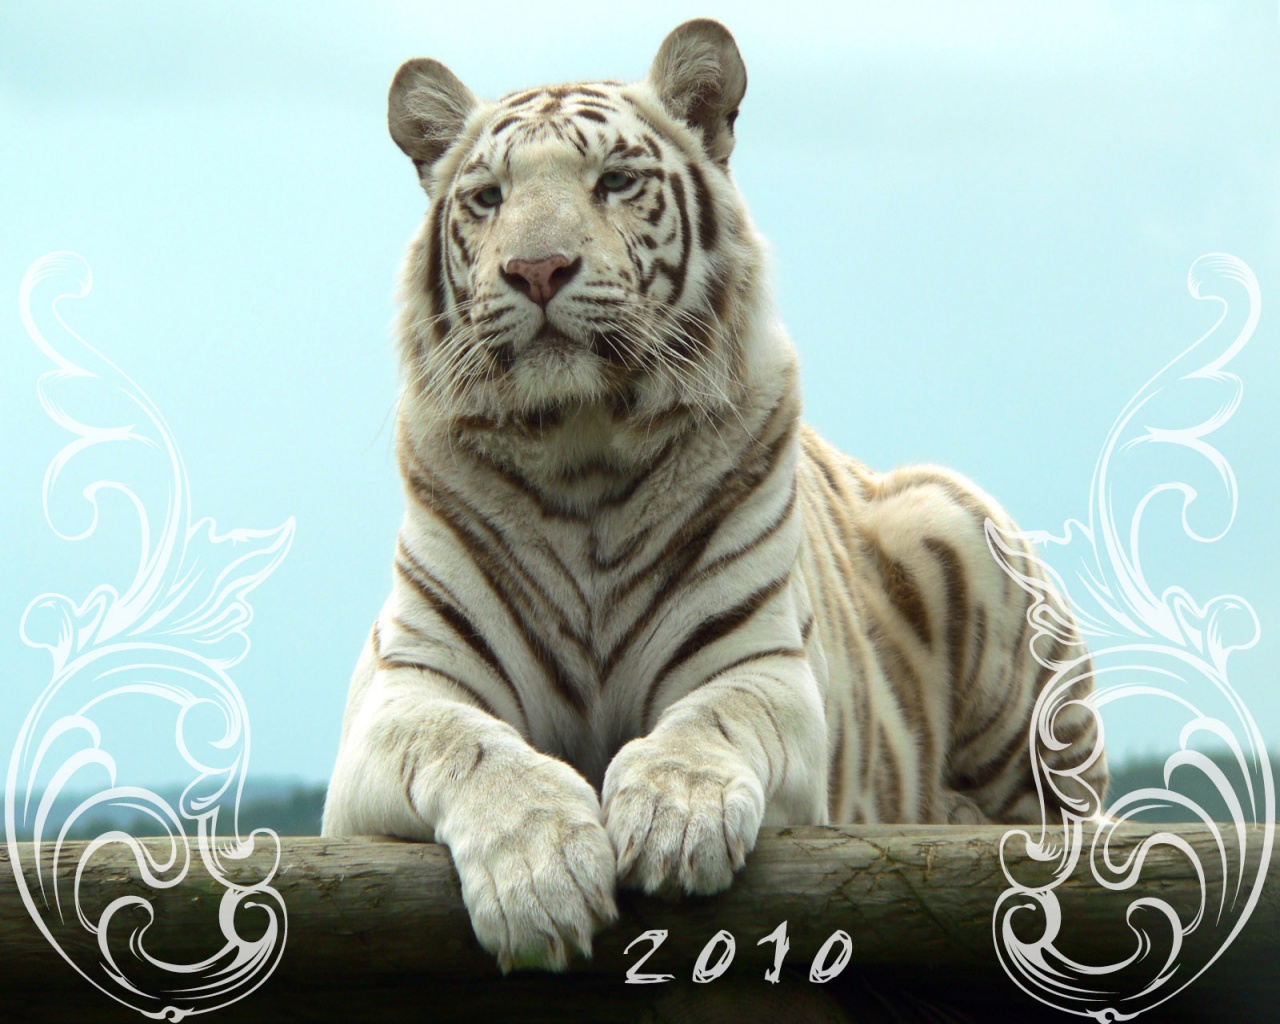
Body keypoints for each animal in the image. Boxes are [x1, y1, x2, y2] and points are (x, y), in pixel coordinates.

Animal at [320, 18, 1107, 973]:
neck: (580, 453)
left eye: (614, 181)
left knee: (1067, 820)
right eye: (487, 196)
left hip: (962, 543)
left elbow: (711, 723)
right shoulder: (406, 691)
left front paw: (672, 819)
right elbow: (473, 749)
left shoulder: (758, 664)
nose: (537, 269)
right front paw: (539, 875)